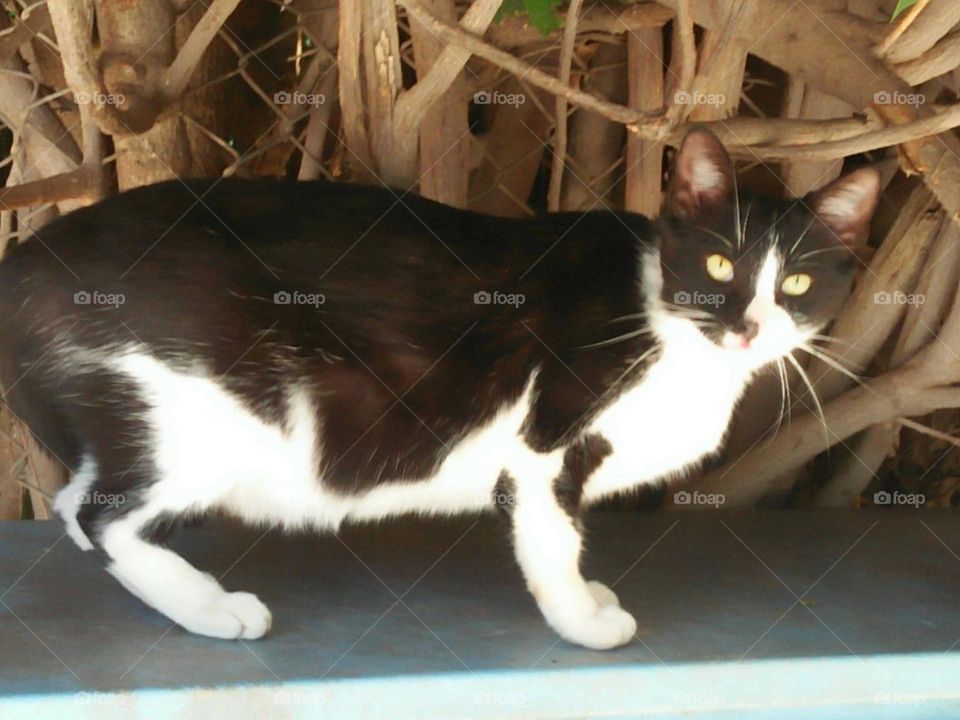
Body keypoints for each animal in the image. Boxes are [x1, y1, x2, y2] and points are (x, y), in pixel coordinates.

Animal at [0, 128, 876, 648]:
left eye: (797, 283)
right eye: (721, 265)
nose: (748, 325)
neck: (670, 330)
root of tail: (29, 258)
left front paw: (588, 597)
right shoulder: (544, 444)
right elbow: (552, 538)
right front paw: (581, 618)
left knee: (72, 502)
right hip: (211, 416)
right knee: (100, 514)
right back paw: (211, 608)